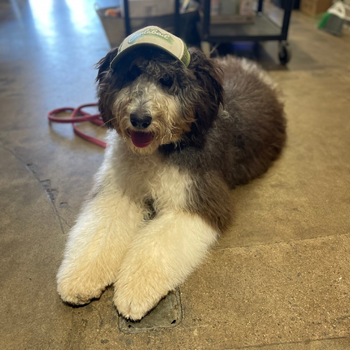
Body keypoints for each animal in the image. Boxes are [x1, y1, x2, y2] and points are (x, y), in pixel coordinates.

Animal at [56, 43, 286, 320]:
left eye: (167, 80)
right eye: (131, 73)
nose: (140, 119)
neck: (155, 153)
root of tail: (248, 65)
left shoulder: (198, 197)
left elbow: (156, 245)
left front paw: (135, 290)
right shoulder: (119, 191)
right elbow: (101, 229)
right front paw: (80, 278)